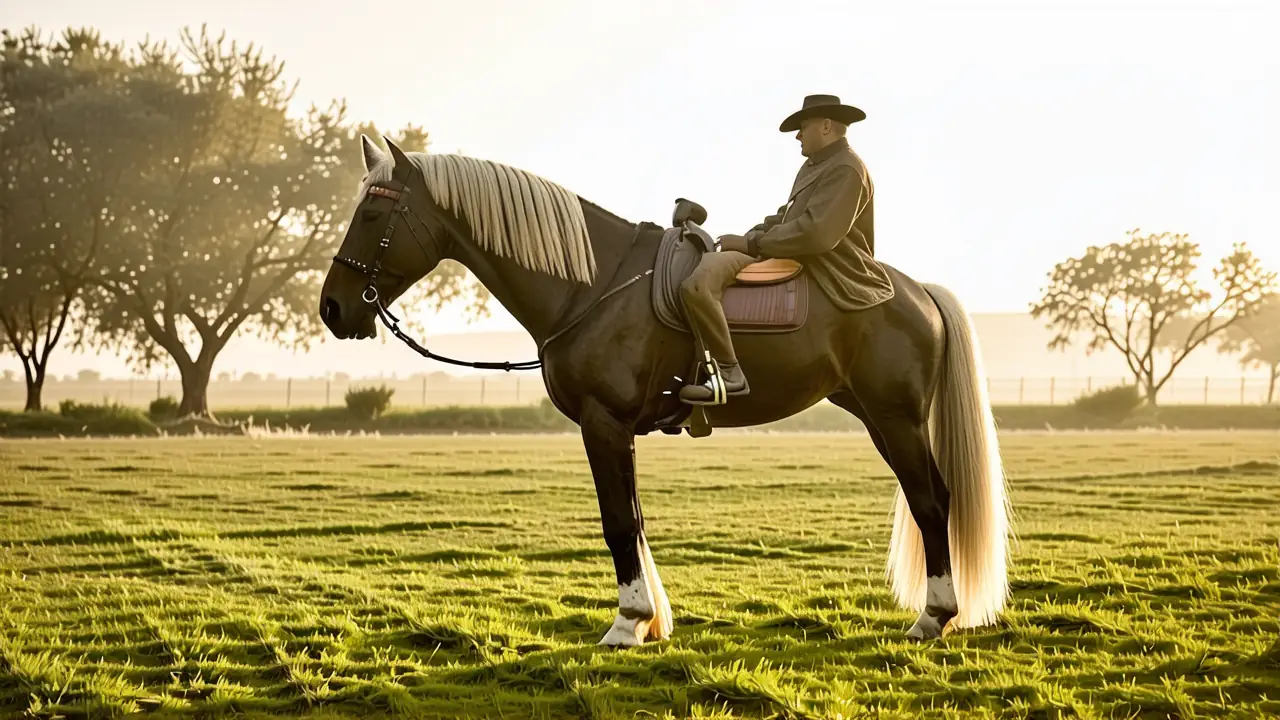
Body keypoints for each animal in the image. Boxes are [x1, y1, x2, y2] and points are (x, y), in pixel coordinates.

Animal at [318, 135, 1012, 647]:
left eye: (373, 213)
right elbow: (633, 520)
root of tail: (916, 290)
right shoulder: (615, 430)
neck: (592, 284)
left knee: (932, 502)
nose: (332, 308)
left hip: (896, 419)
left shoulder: (603, 422)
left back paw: (934, 617)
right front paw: (649, 618)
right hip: (878, 417)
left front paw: (627, 624)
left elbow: (618, 524)